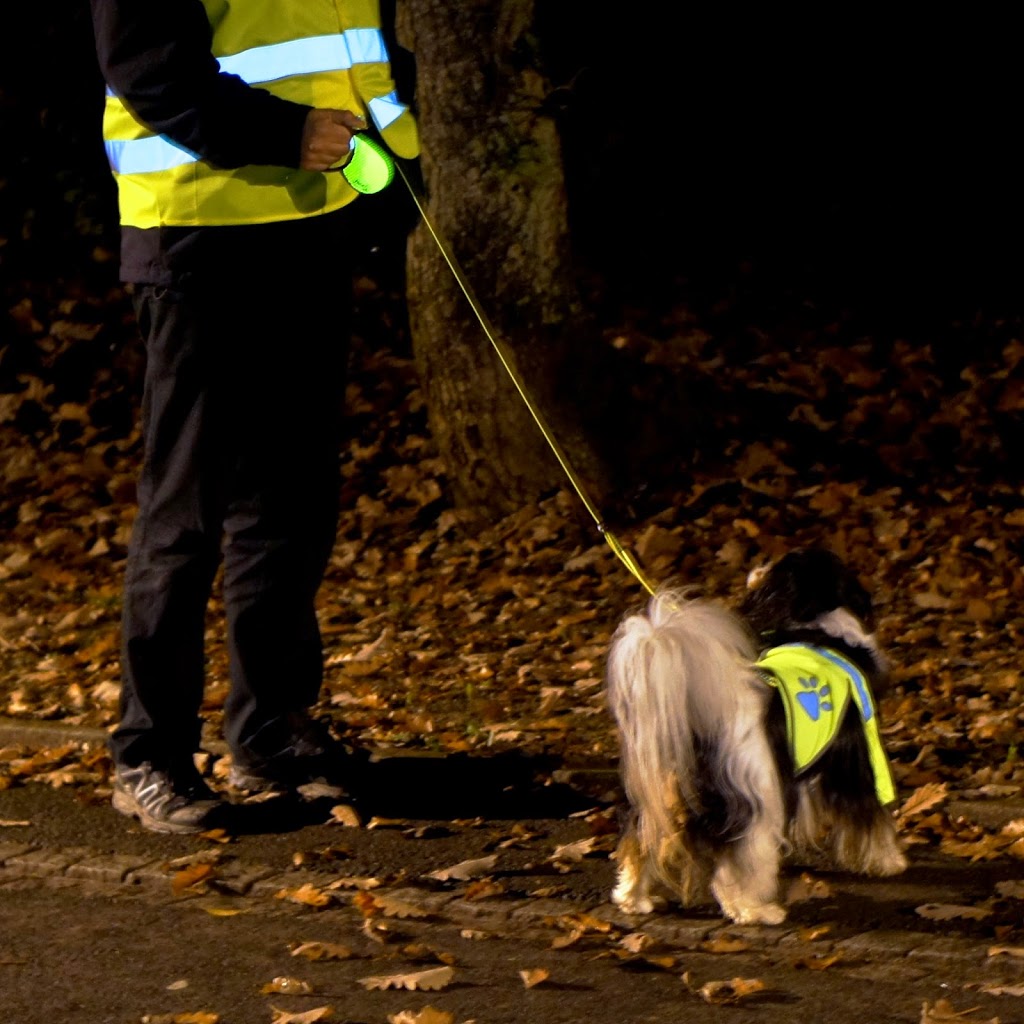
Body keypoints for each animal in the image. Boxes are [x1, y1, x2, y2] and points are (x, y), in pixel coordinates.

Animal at [602, 548, 909, 925]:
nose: (758, 565)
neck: (816, 624)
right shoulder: (858, 763)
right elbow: (873, 818)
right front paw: (889, 861)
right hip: (757, 801)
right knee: (737, 866)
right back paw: (757, 910)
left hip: (659, 800)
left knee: (641, 844)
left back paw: (633, 898)